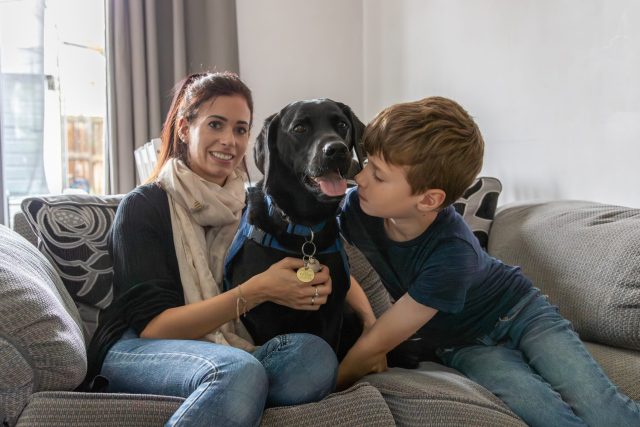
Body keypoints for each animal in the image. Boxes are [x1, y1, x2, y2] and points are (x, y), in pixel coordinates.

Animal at [225, 98, 364, 352]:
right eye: (299, 128)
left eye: (342, 124)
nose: (337, 150)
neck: (304, 229)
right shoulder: (263, 316)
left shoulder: (333, 310)